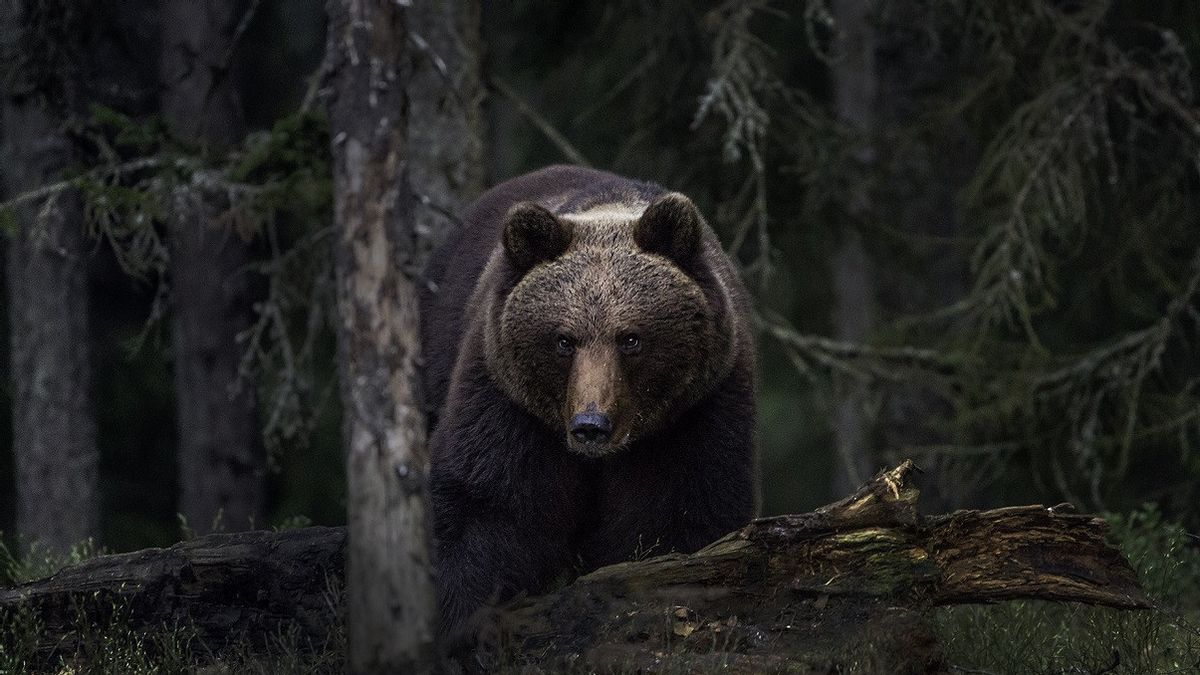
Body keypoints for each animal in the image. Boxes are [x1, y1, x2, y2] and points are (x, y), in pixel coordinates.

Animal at [424, 163, 758, 634]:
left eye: (631, 338)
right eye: (563, 340)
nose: (591, 425)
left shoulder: (696, 412)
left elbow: (680, 512)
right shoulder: (506, 399)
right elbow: (489, 503)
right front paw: (464, 614)